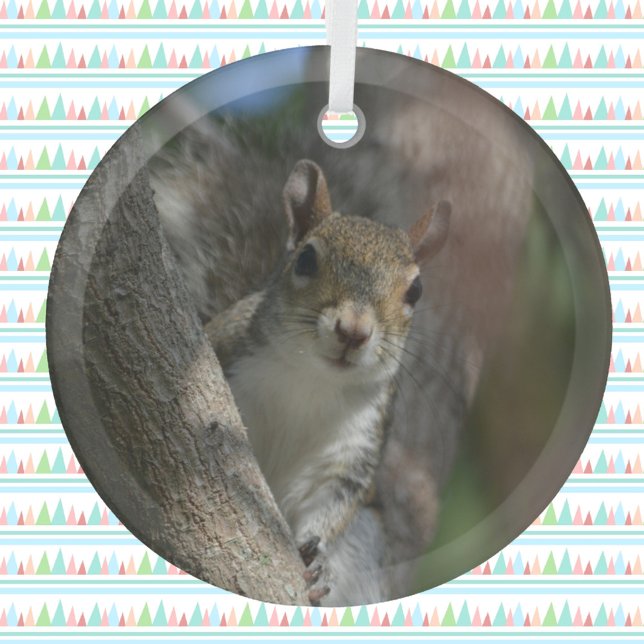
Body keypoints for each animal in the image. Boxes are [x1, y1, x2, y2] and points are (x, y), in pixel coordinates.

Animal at [202, 159, 451, 605]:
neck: (312, 379)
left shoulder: (354, 447)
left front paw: (317, 560)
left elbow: (331, 503)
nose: (353, 331)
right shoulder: (222, 346)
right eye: (305, 260)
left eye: (416, 290)